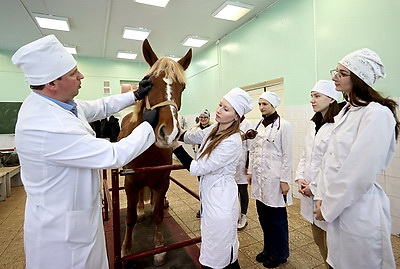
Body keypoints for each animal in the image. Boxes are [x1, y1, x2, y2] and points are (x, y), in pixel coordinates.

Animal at [117, 38, 192, 264]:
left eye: (183, 86)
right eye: (148, 82)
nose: (169, 132)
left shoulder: (162, 181)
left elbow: (158, 213)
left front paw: (159, 248)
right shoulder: (130, 182)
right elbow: (130, 217)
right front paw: (126, 250)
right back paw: (142, 210)